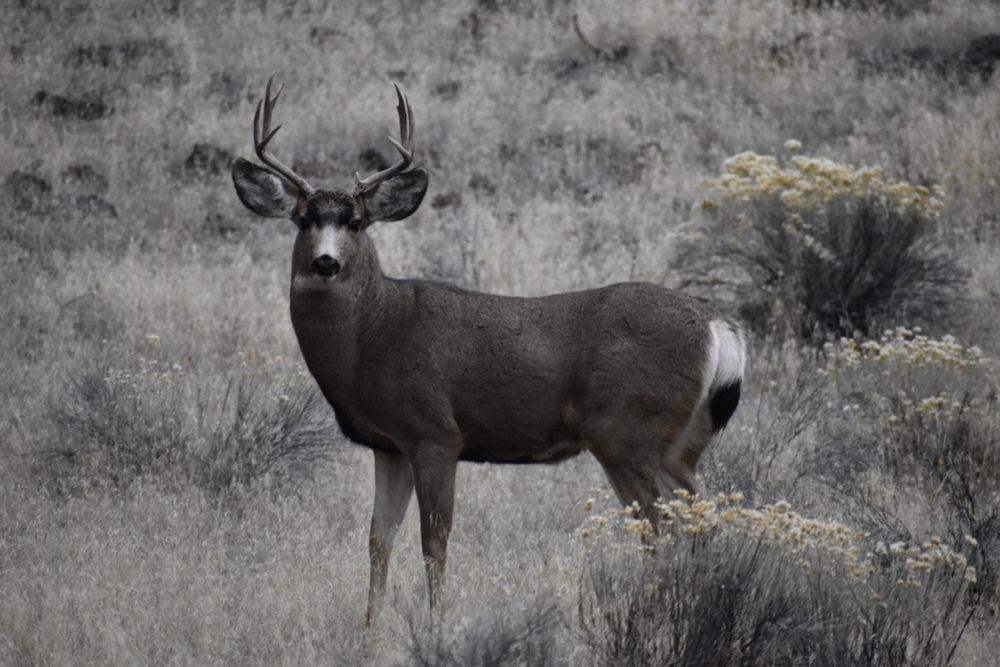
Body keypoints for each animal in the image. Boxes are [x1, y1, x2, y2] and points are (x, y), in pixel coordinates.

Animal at [231, 76, 746, 622]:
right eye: (303, 219)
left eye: (355, 221)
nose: (326, 262)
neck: (374, 334)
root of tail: (718, 327)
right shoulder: (388, 445)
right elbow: (377, 541)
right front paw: (370, 627)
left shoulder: (435, 432)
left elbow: (434, 543)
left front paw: (435, 623)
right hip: (680, 442)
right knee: (701, 520)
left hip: (627, 433)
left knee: (658, 528)